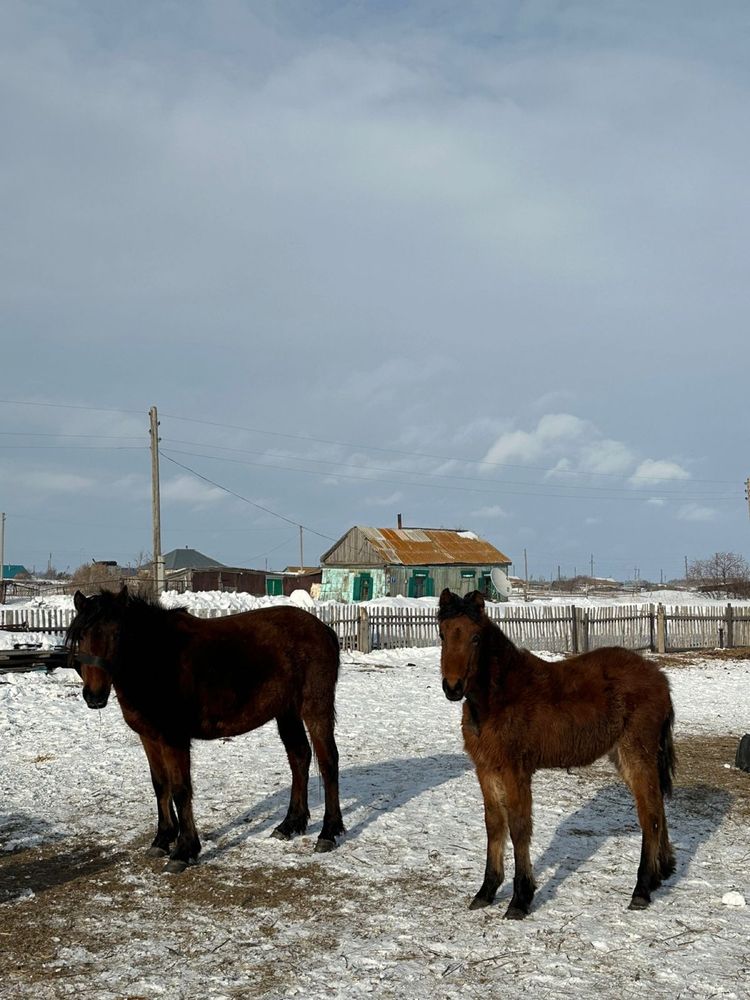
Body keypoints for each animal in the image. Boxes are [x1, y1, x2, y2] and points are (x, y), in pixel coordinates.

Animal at [67, 588, 344, 872]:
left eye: (117, 635)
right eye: (81, 636)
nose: (94, 696)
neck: (159, 656)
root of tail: (323, 629)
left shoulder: (174, 739)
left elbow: (180, 789)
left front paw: (184, 850)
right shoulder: (149, 737)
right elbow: (160, 785)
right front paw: (162, 839)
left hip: (315, 709)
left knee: (328, 762)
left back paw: (328, 833)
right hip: (286, 712)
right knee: (299, 757)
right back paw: (290, 825)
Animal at [438, 588, 680, 916]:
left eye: (476, 638)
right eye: (442, 634)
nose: (452, 687)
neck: (497, 697)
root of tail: (661, 679)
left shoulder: (516, 770)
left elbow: (519, 827)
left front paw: (520, 899)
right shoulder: (485, 768)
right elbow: (494, 825)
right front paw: (486, 891)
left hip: (637, 753)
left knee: (650, 813)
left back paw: (641, 889)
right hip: (625, 757)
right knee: (658, 806)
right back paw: (660, 873)